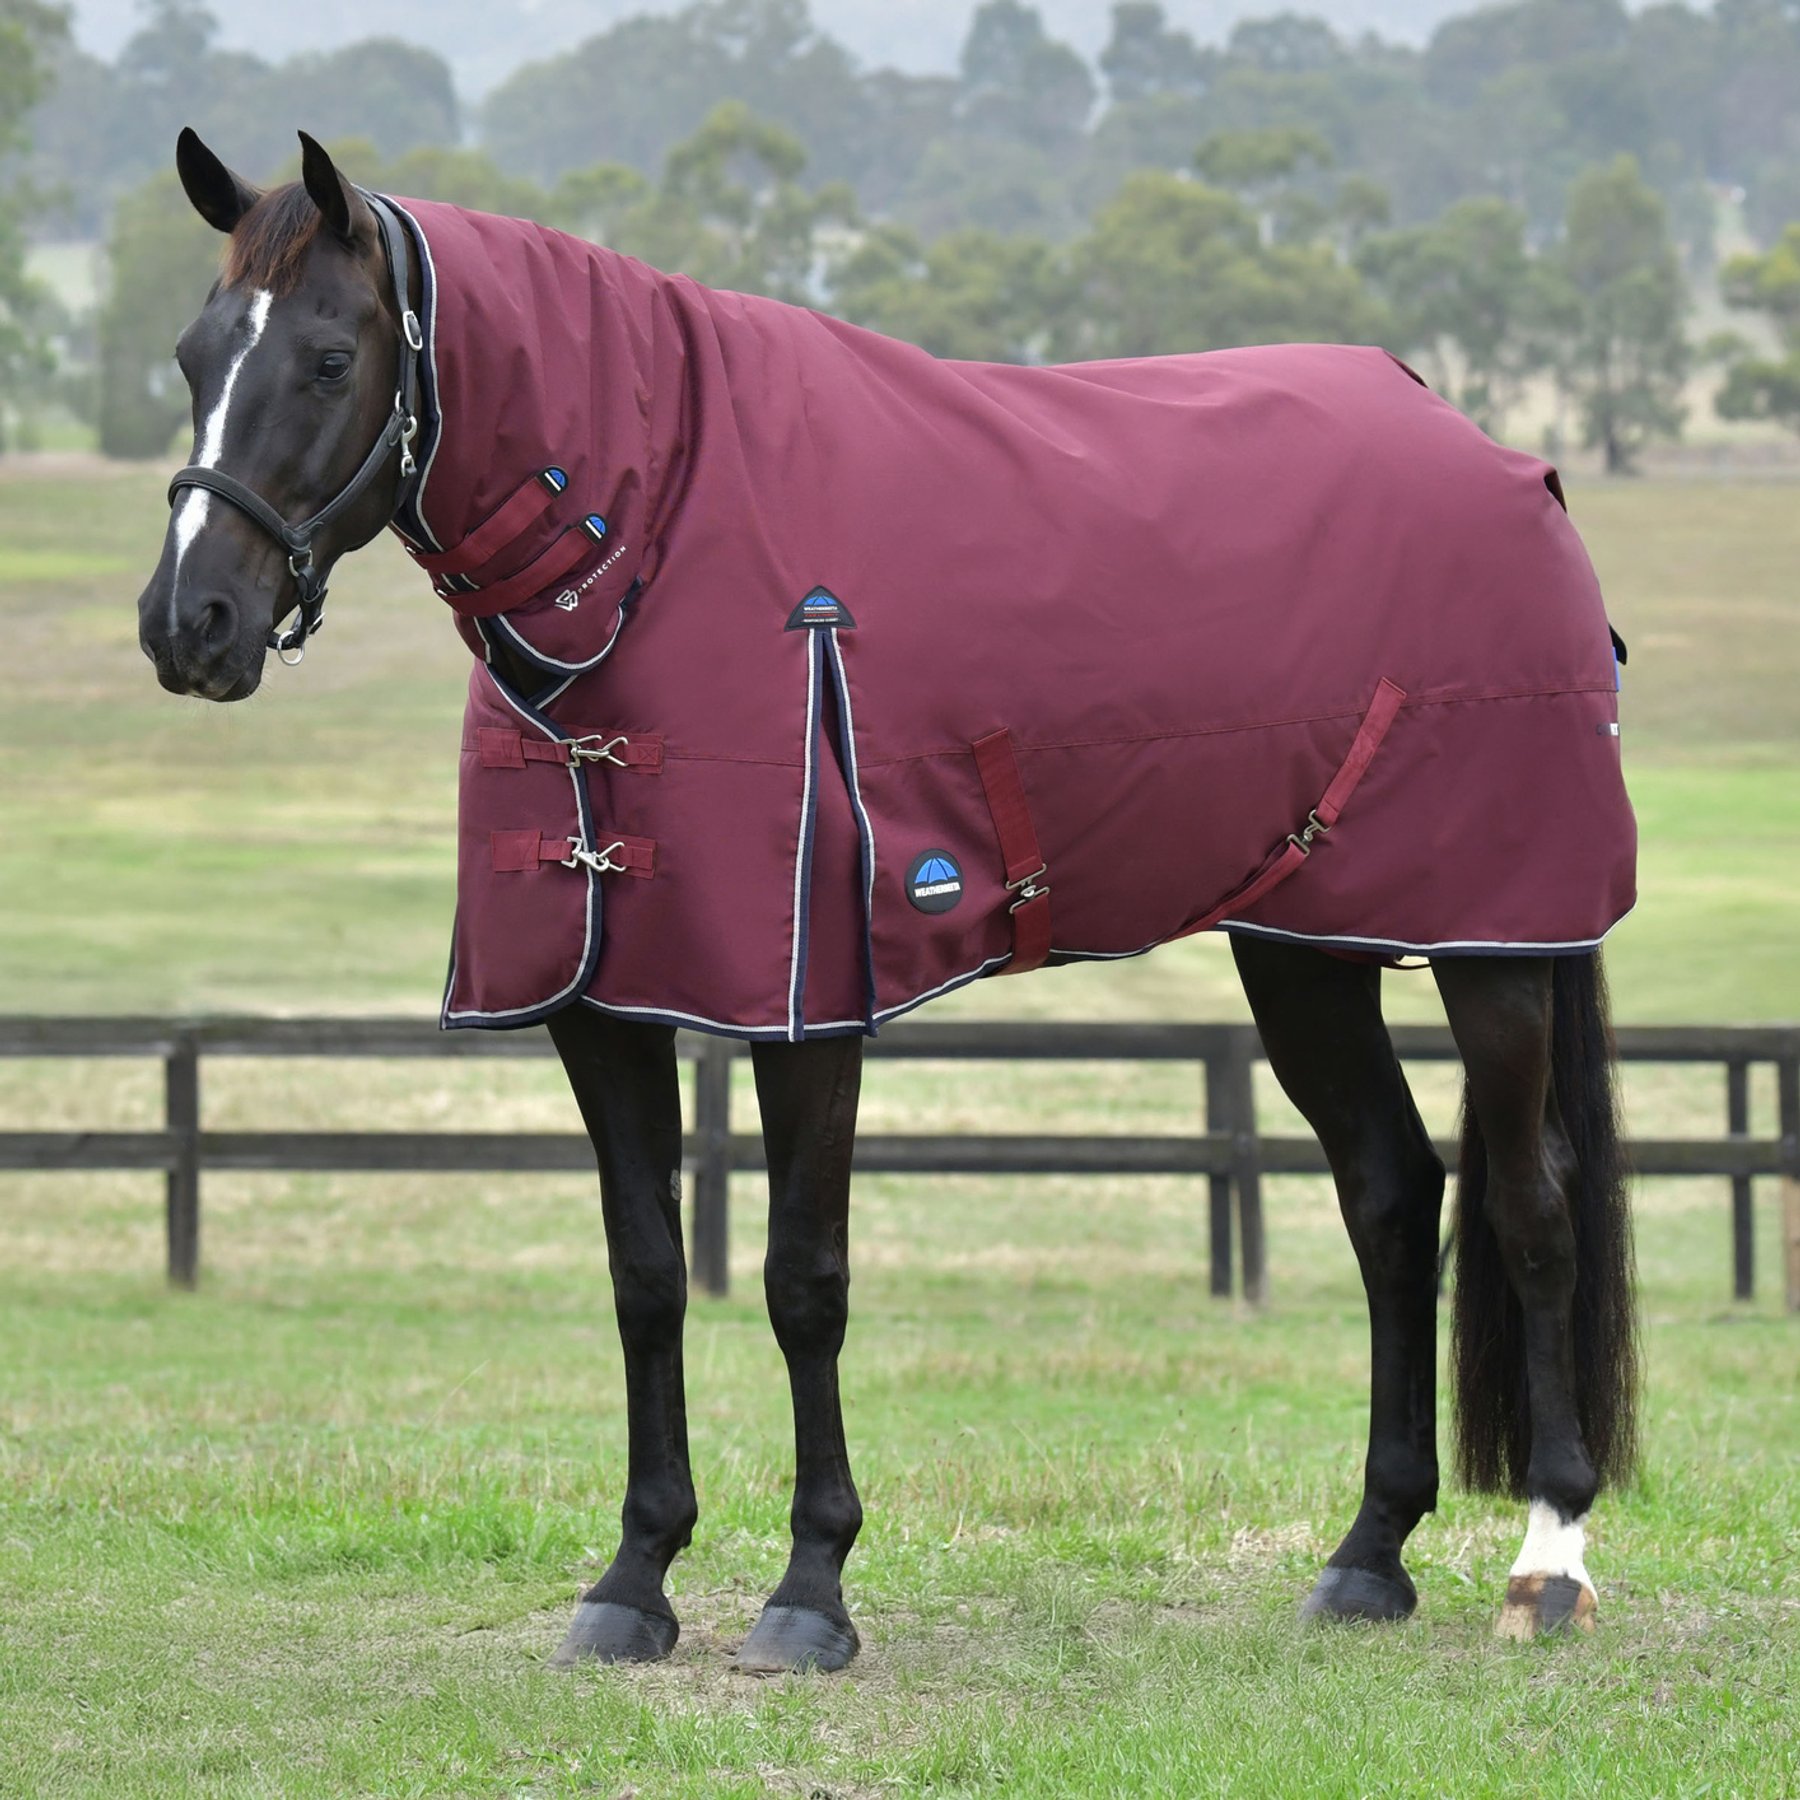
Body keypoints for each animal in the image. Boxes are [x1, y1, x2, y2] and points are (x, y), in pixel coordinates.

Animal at [135, 128, 1638, 1671]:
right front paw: (634, 1579)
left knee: (1532, 1208)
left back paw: (1550, 1559)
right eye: (193, 354)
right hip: (1302, 947)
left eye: (327, 358)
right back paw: (1368, 1555)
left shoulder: (809, 1009)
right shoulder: (602, 1004)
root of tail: (1498, 457)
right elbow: (647, 1276)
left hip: (1493, 942)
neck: (657, 539)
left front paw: (810, 1589)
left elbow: (805, 1281)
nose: (188, 623)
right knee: (1392, 1197)